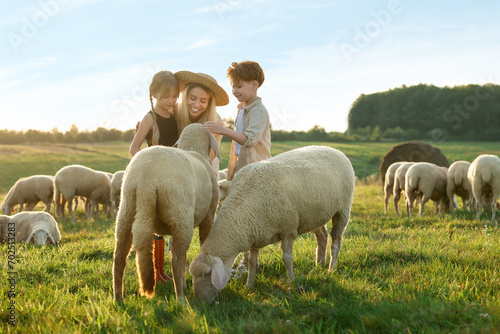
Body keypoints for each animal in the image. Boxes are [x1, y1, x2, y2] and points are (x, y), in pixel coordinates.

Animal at [115, 124, 221, 304]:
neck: (195, 151)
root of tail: (146, 180)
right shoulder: (208, 215)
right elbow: (202, 243)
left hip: (126, 211)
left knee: (119, 258)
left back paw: (118, 299)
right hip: (180, 216)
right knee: (176, 260)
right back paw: (181, 299)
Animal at [188, 145, 356, 302]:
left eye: (207, 274)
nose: (200, 301)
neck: (242, 211)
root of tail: (334, 149)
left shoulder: (288, 230)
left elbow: (287, 258)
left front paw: (292, 281)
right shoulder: (255, 234)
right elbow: (252, 262)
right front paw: (249, 285)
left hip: (343, 209)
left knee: (336, 241)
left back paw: (331, 269)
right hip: (316, 214)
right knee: (322, 237)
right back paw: (319, 266)